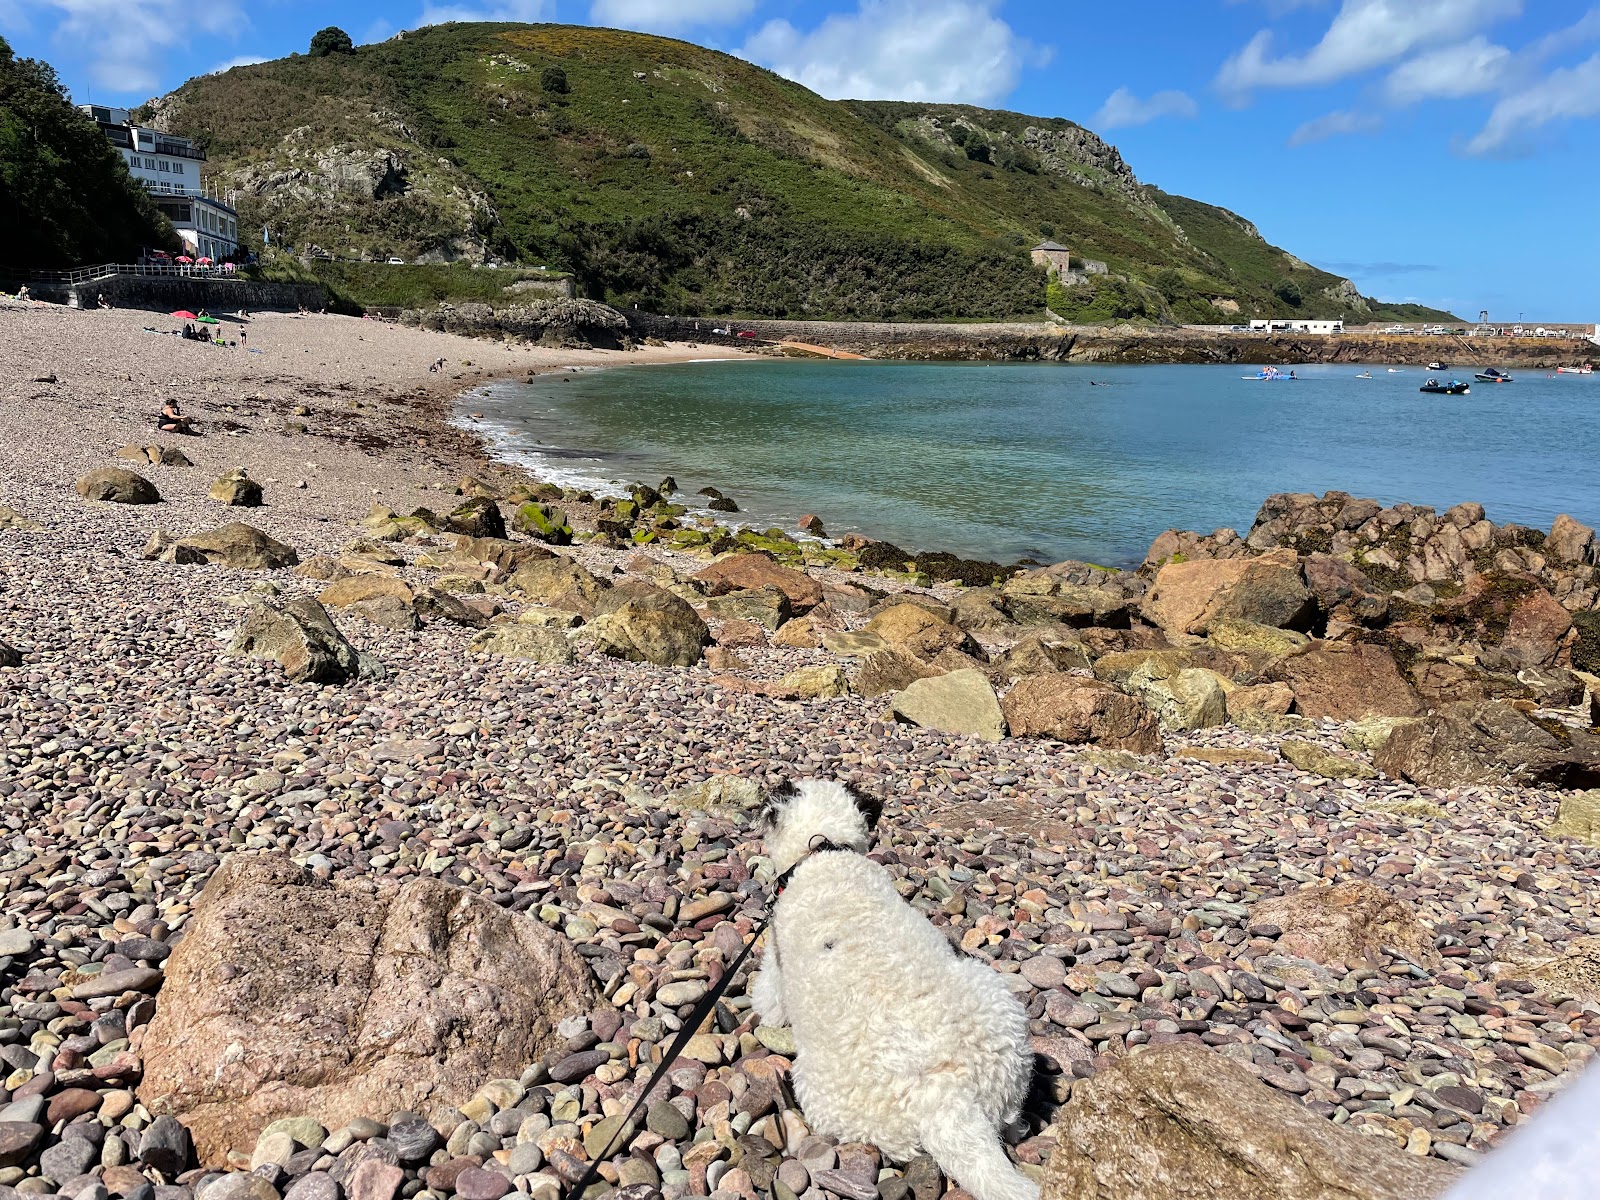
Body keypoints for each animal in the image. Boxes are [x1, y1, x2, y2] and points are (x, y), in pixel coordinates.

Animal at [748, 780, 1036, 1200]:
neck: (824, 850)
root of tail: (945, 1097)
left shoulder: (775, 956)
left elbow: (770, 999)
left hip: (818, 1090)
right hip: (996, 1003)